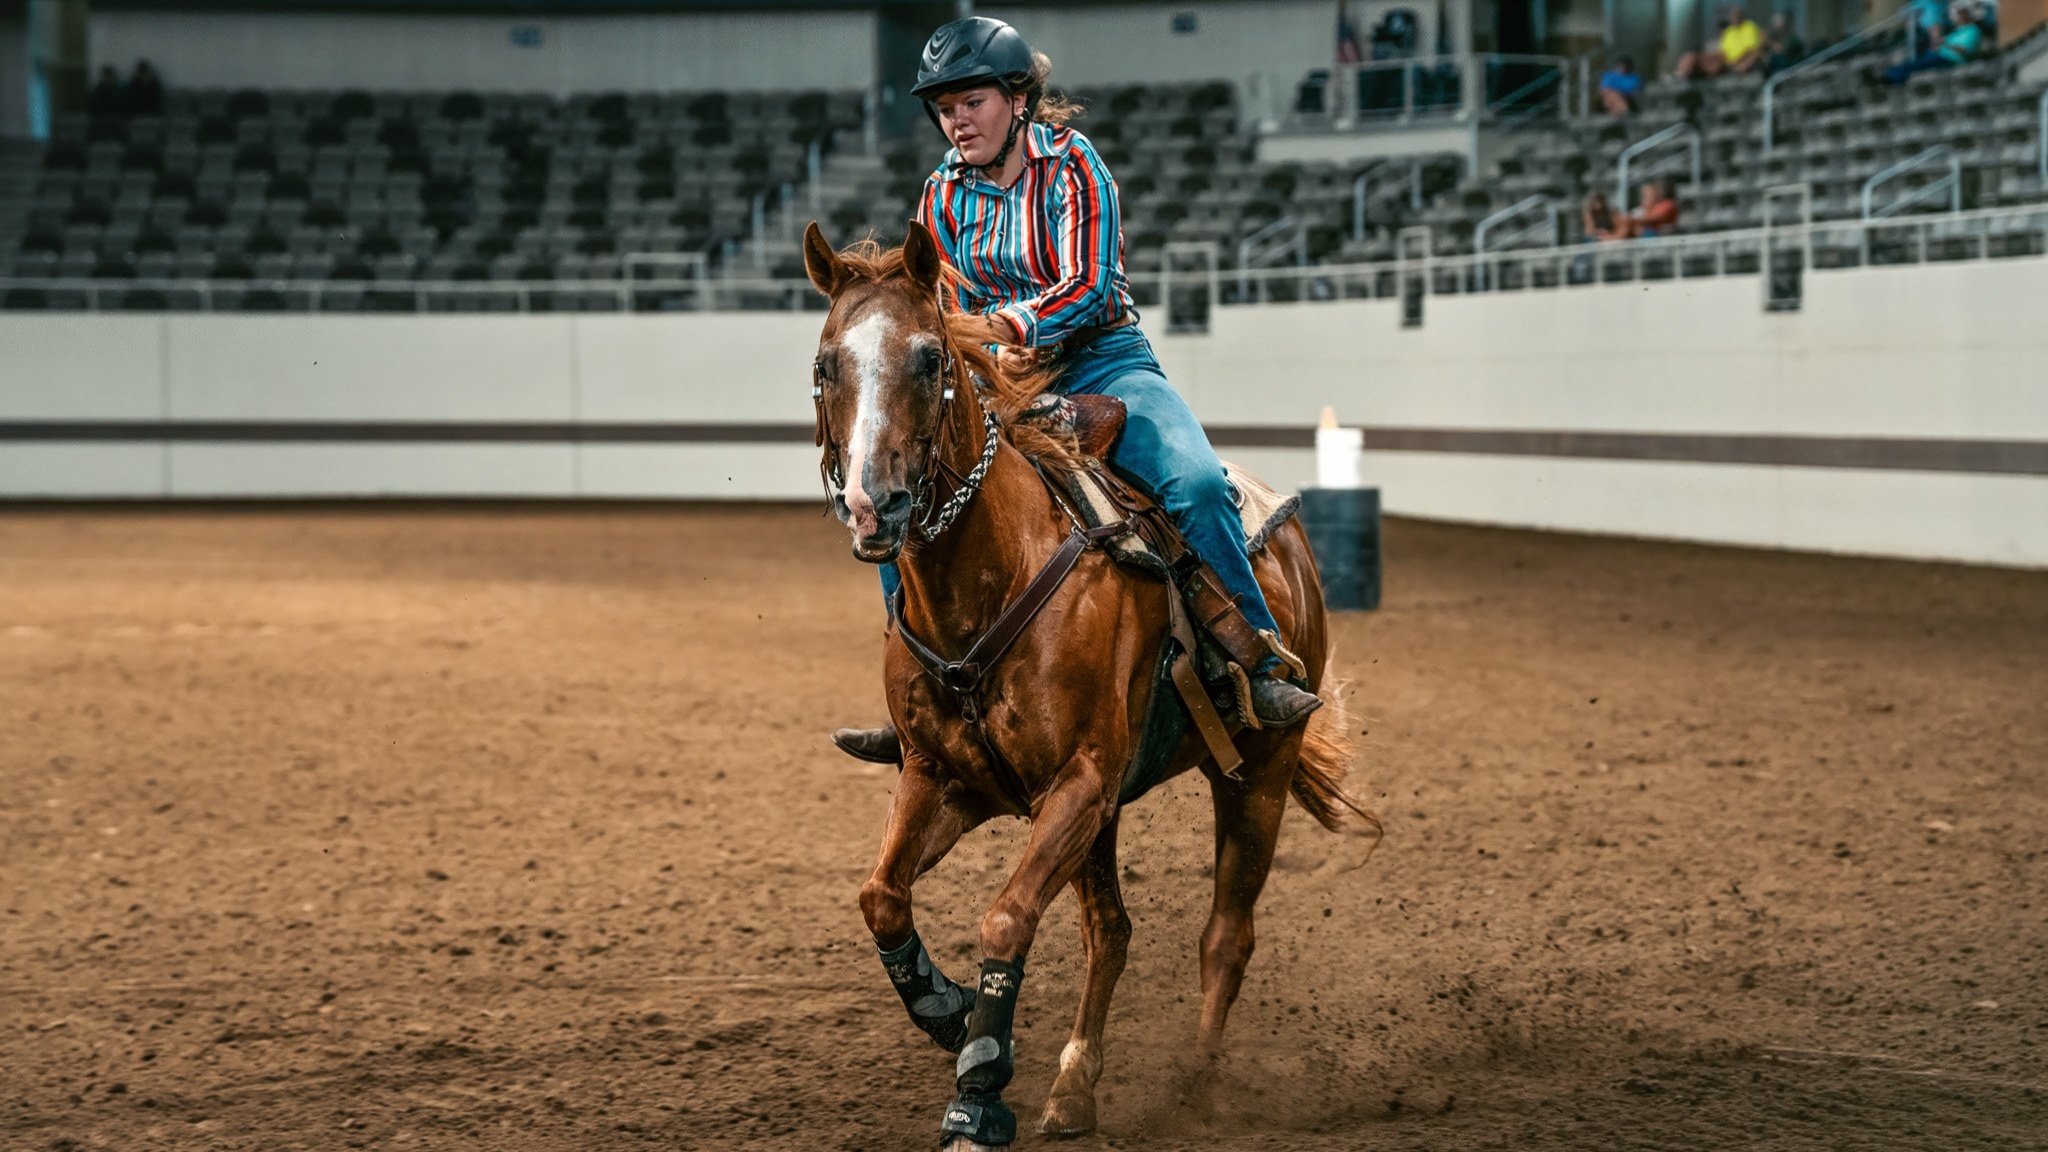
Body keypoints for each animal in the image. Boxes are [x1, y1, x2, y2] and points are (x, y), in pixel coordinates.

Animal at [802, 220, 1374, 1149]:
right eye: (826, 364)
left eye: (929, 357)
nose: (872, 504)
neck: (990, 578)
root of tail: (1285, 531)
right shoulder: (945, 777)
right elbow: (881, 895)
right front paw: (949, 1013)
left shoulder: (1080, 782)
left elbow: (1006, 916)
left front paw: (977, 1092)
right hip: (1090, 814)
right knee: (1110, 930)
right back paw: (1075, 1085)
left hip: (1259, 773)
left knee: (1227, 935)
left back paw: (1195, 1087)